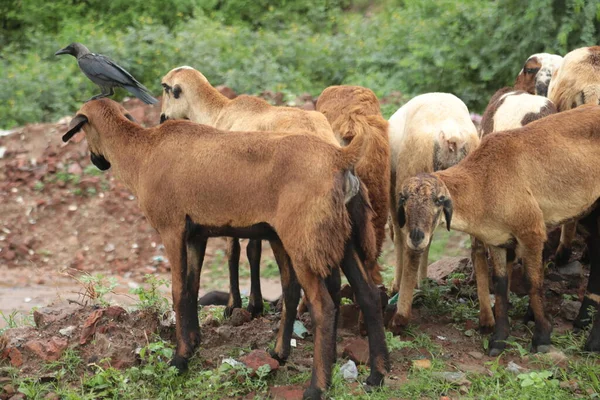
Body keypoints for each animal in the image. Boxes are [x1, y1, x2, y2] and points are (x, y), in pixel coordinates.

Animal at [62, 98, 390, 398]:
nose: (98, 161)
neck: (142, 153)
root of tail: (339, 156)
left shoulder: (172, 229)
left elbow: (177, 291)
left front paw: (178, 360)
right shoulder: (197, 234)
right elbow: (192, 288)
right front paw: (193, 345)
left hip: (304, 238)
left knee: (324, 305)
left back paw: (317, 388)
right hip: (345, 236)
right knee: (368, 295)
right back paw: (376, 376)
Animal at [396, 104, 600, 356]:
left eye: (439, 200)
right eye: (404, 200)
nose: (416, 238)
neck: (485, 183)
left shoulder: (531, 230)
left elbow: (533, 283)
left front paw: (542, 337)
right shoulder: (498, 239)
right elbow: (501, 286)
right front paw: (498, 340)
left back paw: (592, 341)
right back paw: (584, 325)